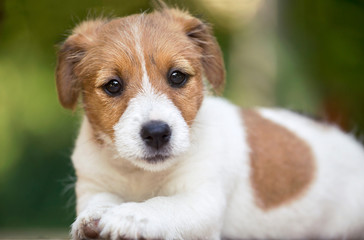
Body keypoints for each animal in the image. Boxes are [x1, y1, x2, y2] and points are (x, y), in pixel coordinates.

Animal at [56, 5, 364, 240]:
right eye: (113, 85)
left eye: (177, 76)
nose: (156, 133)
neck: (141, 175)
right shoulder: (92, 185)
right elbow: (98, 201)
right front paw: (96, 217)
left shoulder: (202, 200)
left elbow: (163, 204)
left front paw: (131, 215)